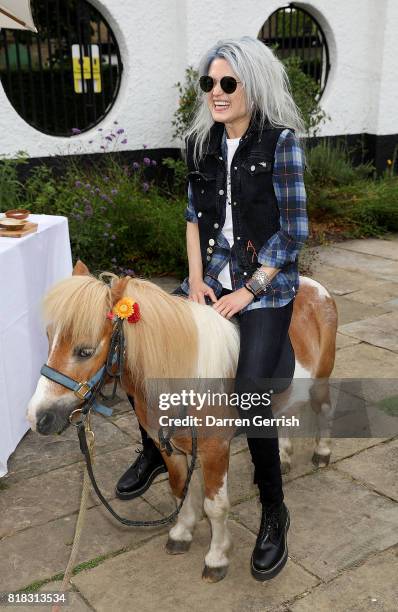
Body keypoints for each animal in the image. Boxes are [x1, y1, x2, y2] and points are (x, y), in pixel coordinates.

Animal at [26, 260, 338, 580]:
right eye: (49, 338)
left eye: (85, 350)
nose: (39, 417)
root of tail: (314, 287)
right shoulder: (168, 446)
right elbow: (179, 489)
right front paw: (182, 532)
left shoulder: (215, 451)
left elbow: (215, 506)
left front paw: (217, 557)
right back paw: (284, 457)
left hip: (320, 380)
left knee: (325, 409)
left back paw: (321, 453)